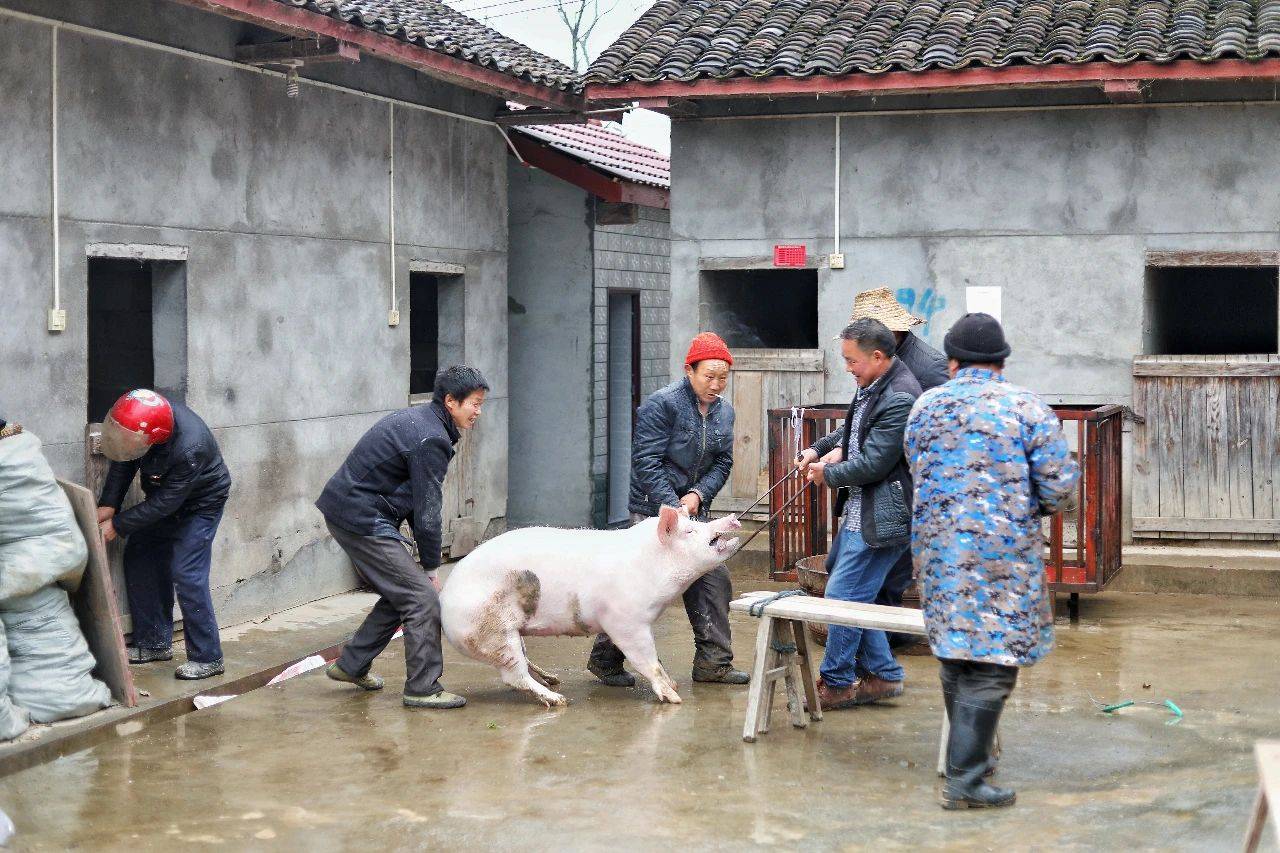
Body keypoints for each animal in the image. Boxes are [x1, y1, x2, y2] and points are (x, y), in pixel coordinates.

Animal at [442, 504, 747, 701]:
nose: (733, 518)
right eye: (689, 531)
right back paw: (558, 700)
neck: (651, 565)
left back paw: (553, 680)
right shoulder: (626, 620)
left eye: (696, 521)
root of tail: (445, 597)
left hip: (511, 633)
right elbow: (646, 659)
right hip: (492, 631)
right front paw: (673, 696)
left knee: (524, 664)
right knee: (513, 675)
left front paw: (672, 684)